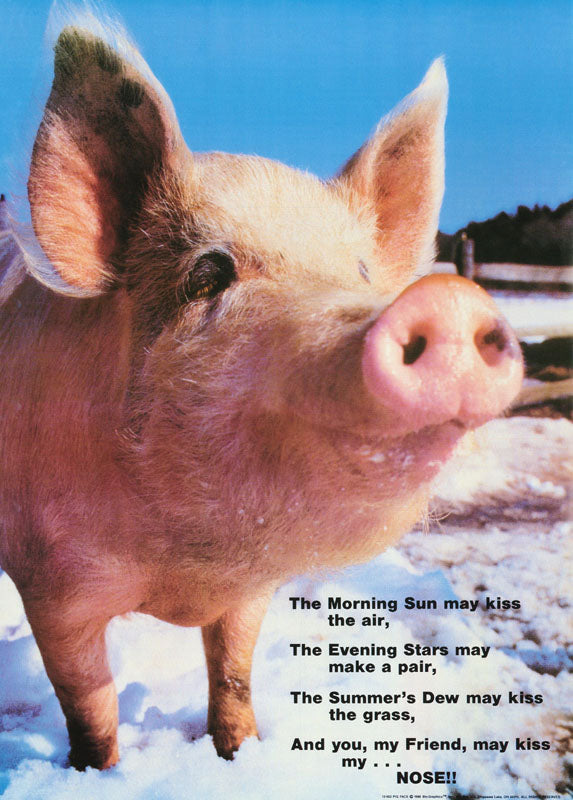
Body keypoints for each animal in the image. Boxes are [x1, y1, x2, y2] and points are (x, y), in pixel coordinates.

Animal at [0, 19, 523, 771]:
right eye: (207, 274)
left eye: (361, 272)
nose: (448, 298)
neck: (184, 568)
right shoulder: (50, 580)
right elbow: (89, 708)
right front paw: (100, 774)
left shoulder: (249, 591)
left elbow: (234, 674)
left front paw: (238, 756)